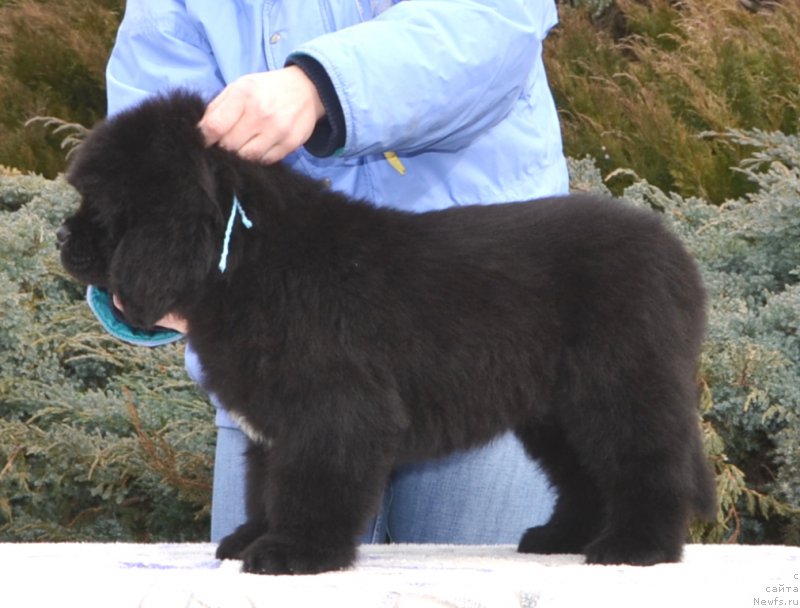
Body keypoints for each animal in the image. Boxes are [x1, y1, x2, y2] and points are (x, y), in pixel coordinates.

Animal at [59, 91, 716, 576]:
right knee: (586, 474)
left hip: (618, 386)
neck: (250, 257)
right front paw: (253, 538)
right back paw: (562, 537)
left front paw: (295, 552)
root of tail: (677, 255)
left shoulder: (332, 409)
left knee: (649, 463)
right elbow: (267, 484)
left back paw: (636, 547)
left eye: (103, 203)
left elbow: (312, 484)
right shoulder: (276, 418)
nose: (64, 238)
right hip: (556, 411)